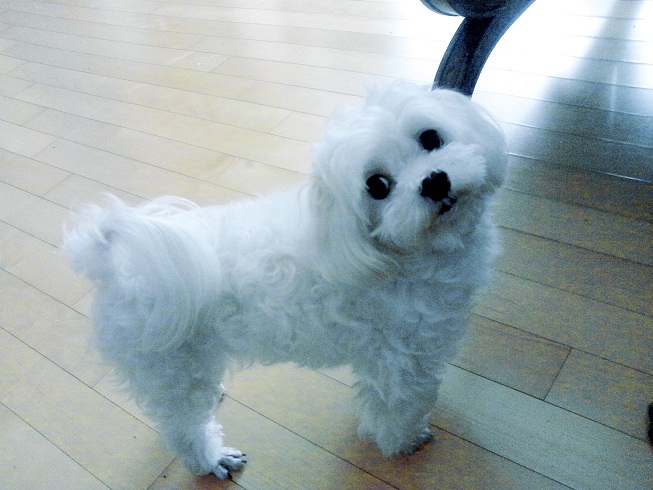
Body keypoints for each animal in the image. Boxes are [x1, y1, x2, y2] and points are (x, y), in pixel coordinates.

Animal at [63, 81, 508, 479]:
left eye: (431, 136)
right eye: (377, 186)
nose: (434, 181)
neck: (393, 254)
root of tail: (111, 268)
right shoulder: (403, 360)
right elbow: (400, 409)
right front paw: (405, 442)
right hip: (169, 370)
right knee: (183, 429)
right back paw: (212, 460)